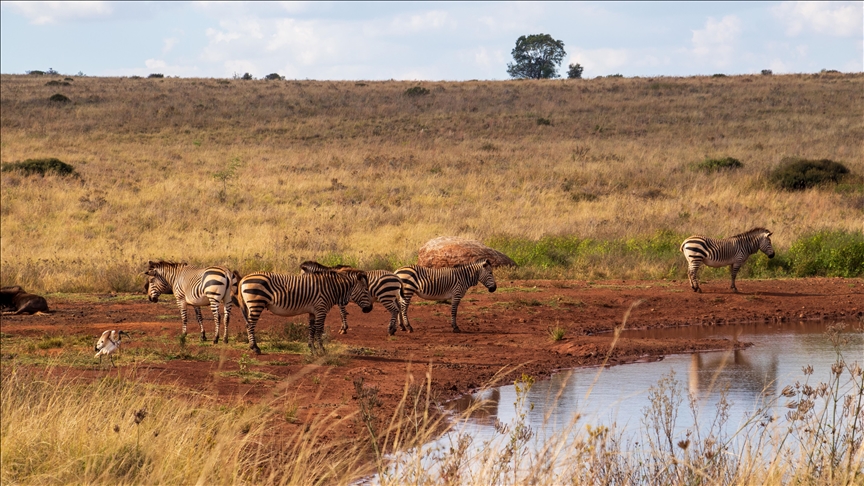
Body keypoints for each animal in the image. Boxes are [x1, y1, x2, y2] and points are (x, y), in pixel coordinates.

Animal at [238, 268, 372, 356]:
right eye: (366, 290)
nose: (370, 309)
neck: (331, 288)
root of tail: (244, 278)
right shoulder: (321, 309)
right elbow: (319, 330)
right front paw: (322, 350)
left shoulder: (313, 312)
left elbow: (311, 329)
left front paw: (312, 348)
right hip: (256, 304)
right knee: (250, 325)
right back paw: (255, 348)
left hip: (252, 305)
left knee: (248, 324)